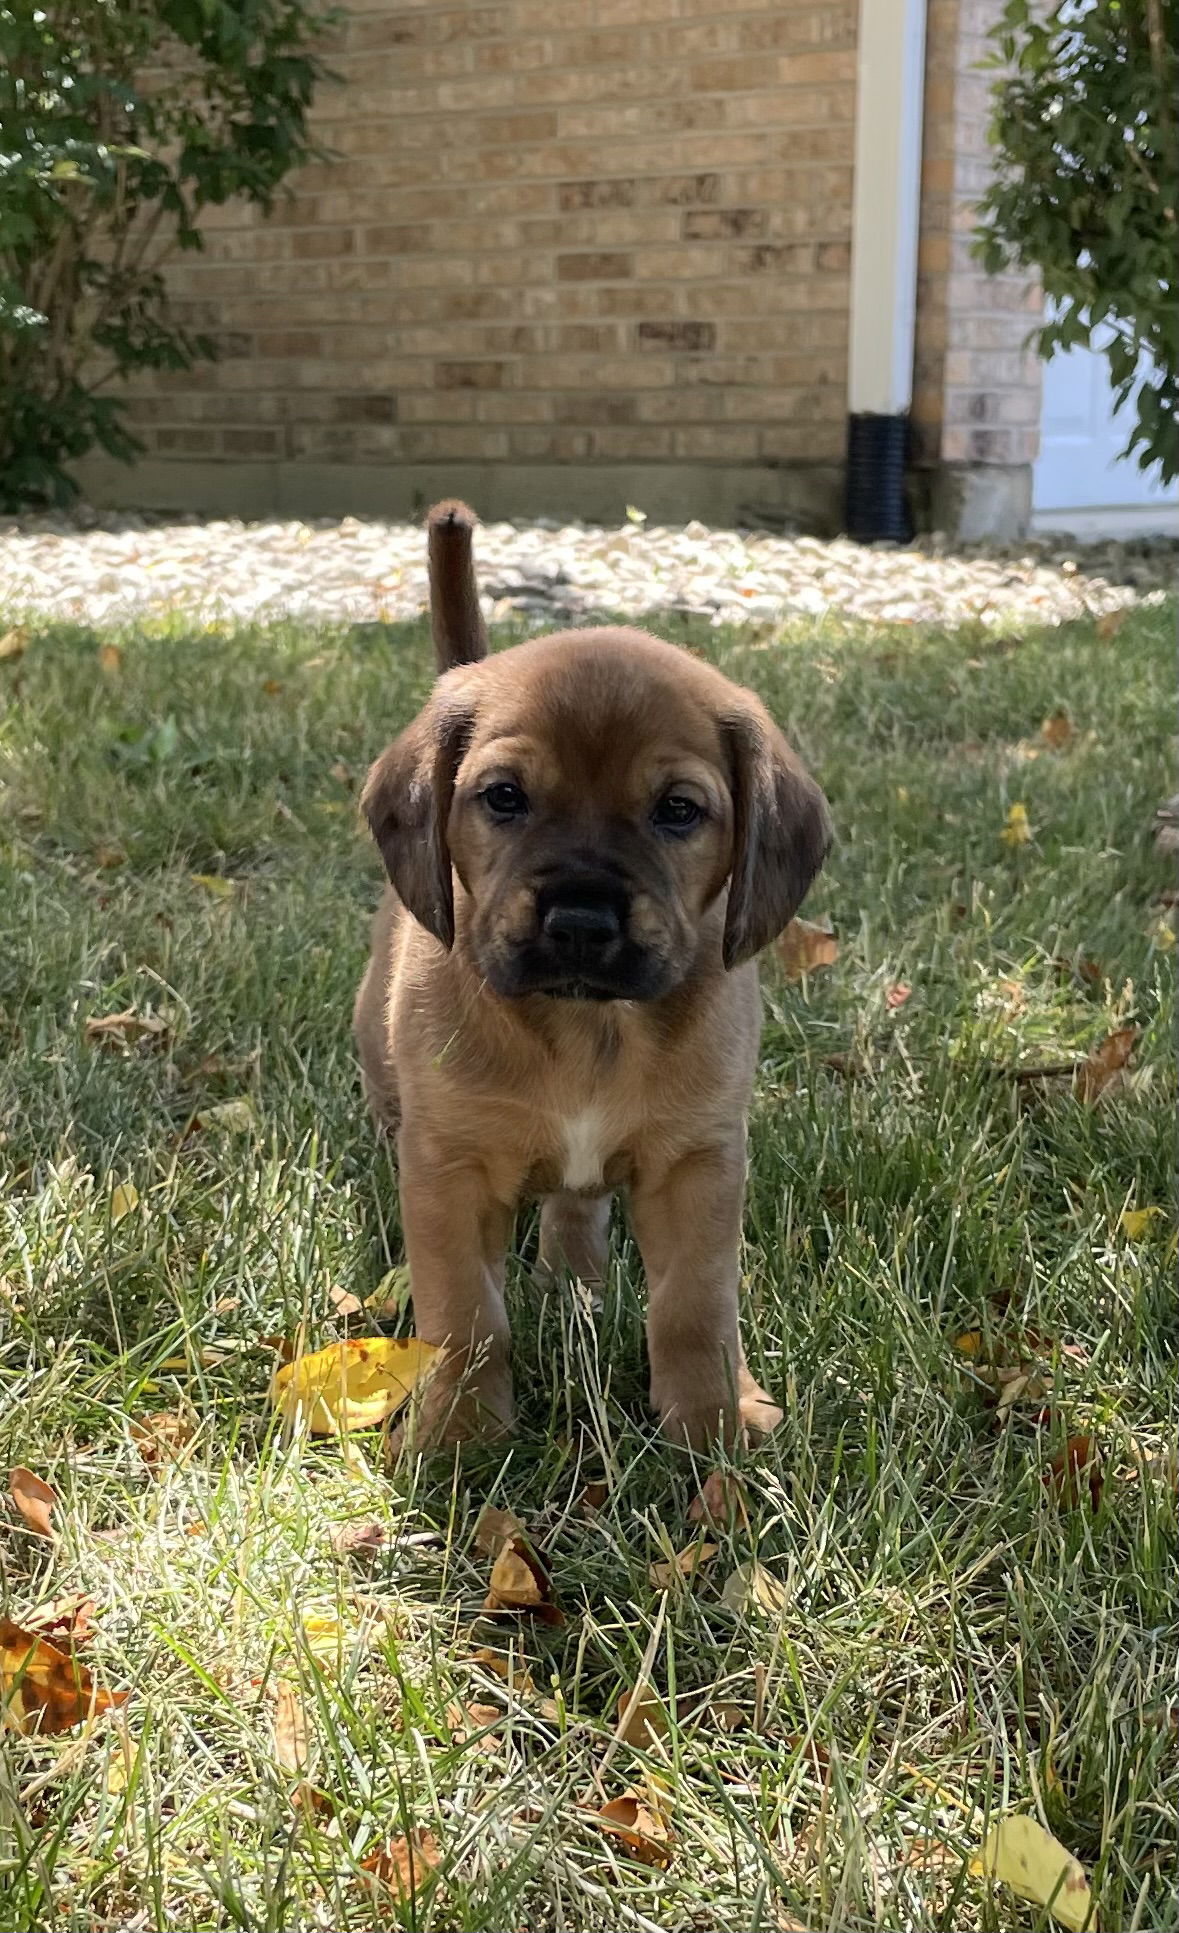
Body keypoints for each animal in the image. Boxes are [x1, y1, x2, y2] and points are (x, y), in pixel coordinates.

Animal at [353, 498, 831, 1453]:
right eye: (503, 797)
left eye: (678, 810)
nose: (578, 921)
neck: (587, 1031)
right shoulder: (449, 1171)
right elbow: (466, 1317)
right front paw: (459, 1436)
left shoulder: (696, 1168)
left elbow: (693, 1312)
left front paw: (710, 1428)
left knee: (577, 1209)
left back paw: (573, 1280)